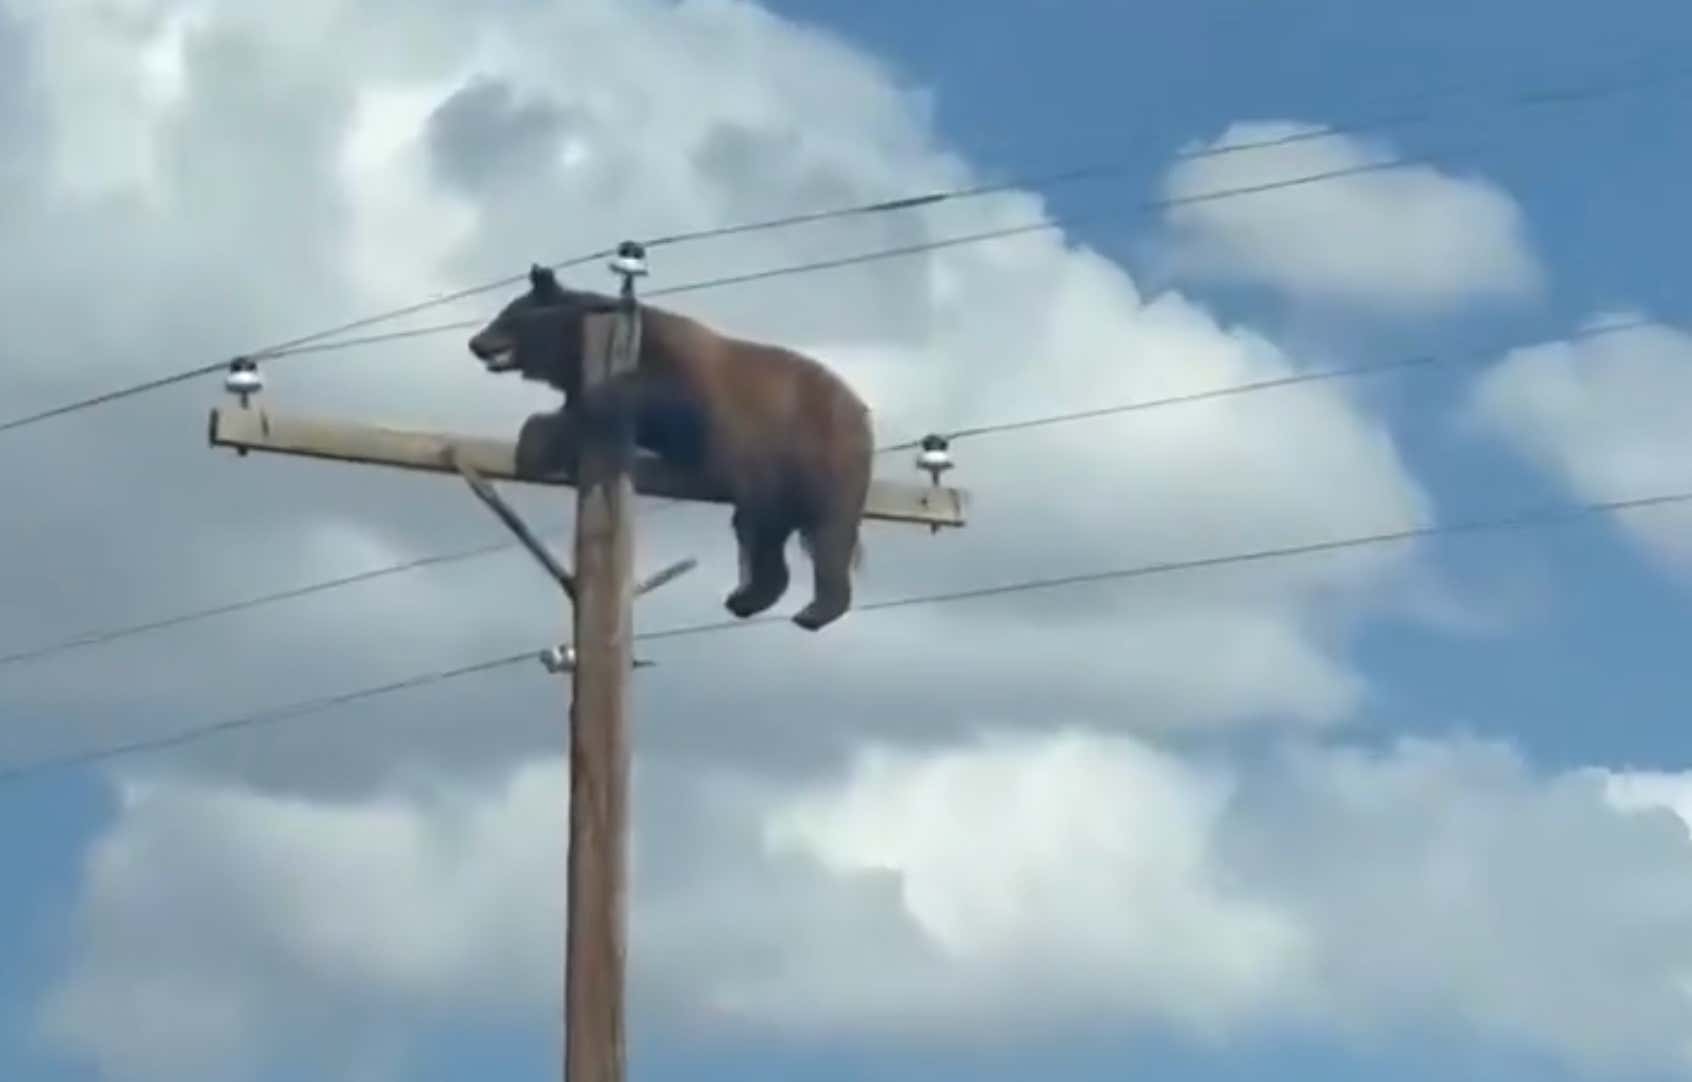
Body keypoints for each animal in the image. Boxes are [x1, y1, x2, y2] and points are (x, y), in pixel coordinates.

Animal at [468, 264, 873, 631]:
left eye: (507, 314)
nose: (475, 343)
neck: (573, 348)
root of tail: (862, 413)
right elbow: (576, 418)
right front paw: (541, 440)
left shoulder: (682, 372)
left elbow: (650, 397)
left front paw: (546, 432)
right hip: (778, 475)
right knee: (762, 529)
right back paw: (750, 598)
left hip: (819, 451)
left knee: (825, 532)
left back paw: (815, 609)